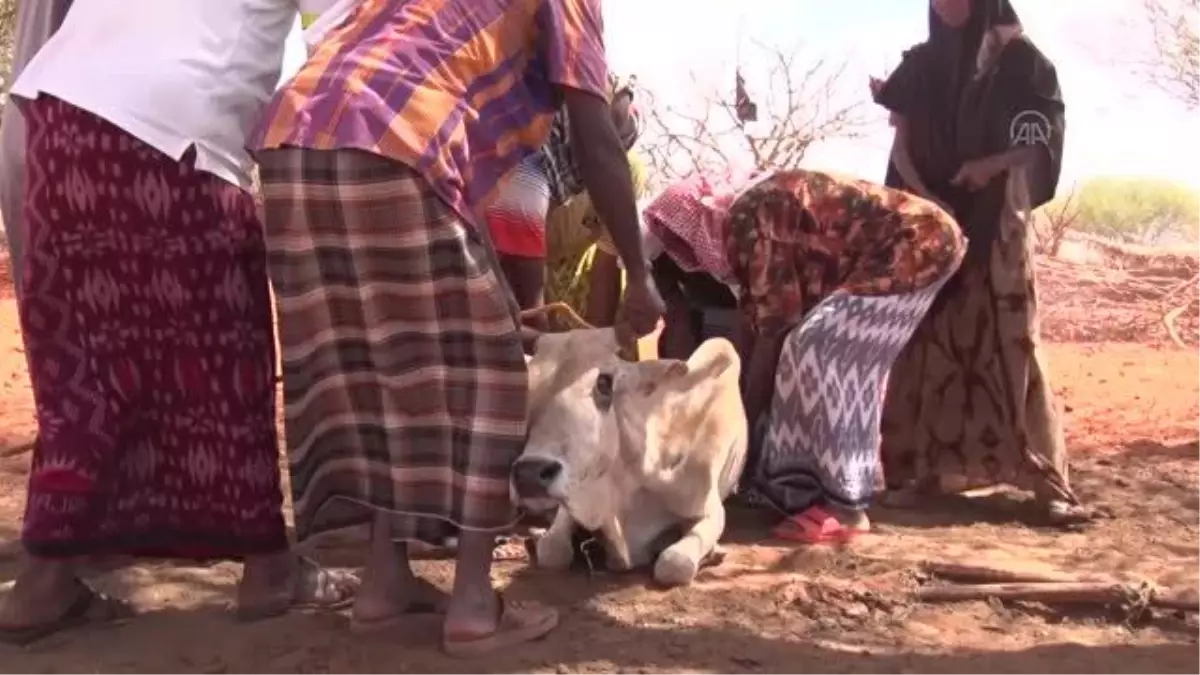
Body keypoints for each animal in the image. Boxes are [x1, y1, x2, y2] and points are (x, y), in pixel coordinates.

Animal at [511, 326, 744, 583]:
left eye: (604, 383)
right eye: (526, 385)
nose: (529, 474)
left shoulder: (711, 511)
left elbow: (673, 565)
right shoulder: (575, 499)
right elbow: (552, 551)